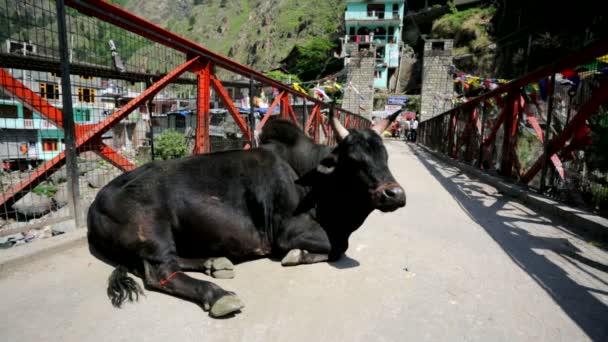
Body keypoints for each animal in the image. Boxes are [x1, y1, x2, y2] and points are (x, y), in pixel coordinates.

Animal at [86, 107, 404, 318]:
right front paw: (297, 255)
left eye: (385, 156)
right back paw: (218, 295)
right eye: (353, 160)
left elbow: (340, 246)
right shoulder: (287, 232)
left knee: (173, 262)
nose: (395, 195)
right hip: (154, 232)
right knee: (160, 273)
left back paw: (215, 263)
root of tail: (96, 203)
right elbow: (339, 246)